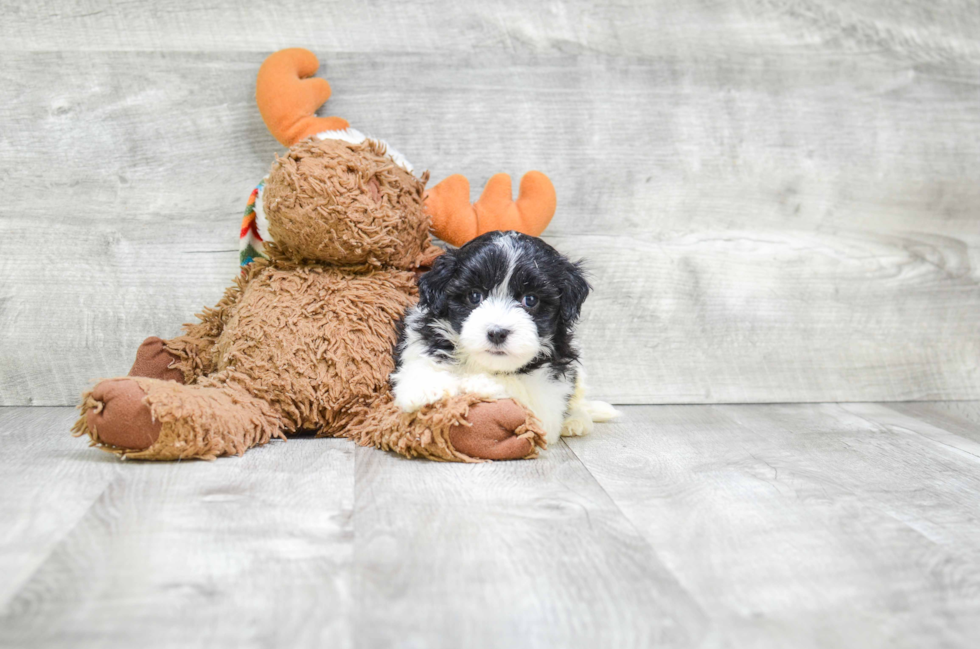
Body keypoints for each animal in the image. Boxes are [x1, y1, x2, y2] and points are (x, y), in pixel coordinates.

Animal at [388, 229, 612, 446]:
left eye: (531, 299)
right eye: (474, 295)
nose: (497, 333)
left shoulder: (549, 394)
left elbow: (523, 392)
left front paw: (479, 383)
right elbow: (421, 362)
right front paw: (425, 387)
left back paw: (577, 420)